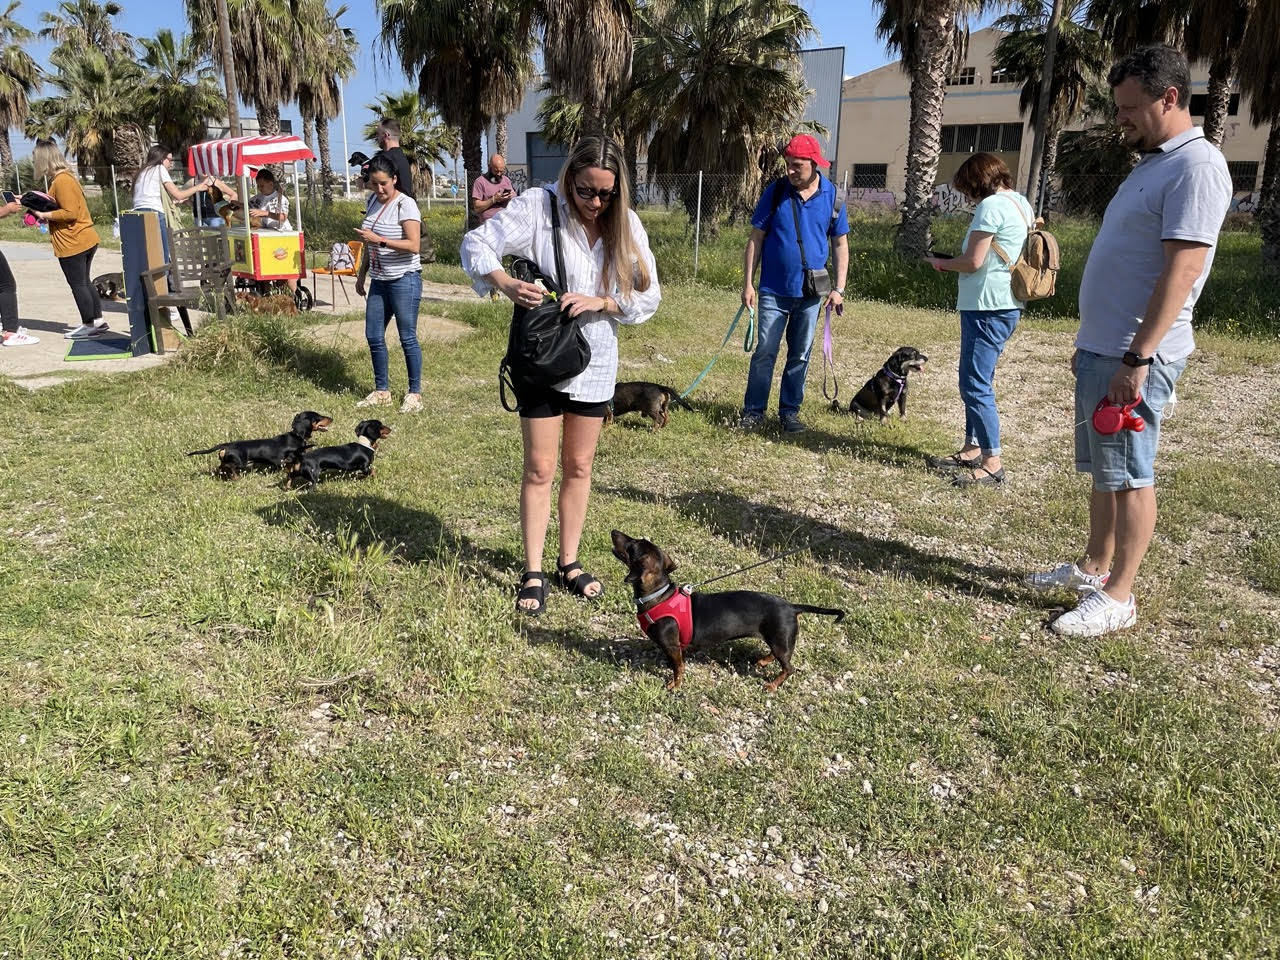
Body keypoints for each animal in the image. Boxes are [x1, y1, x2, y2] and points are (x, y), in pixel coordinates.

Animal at [186, 407, 335, 478]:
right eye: (318, 417)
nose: (332, 418)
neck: (296, 436)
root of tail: (227, 445)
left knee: (222, 466)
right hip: (240, 463)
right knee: (230, 467)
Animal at [611, 529, 844, 696]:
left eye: (632, 545)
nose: (613, 531)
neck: (658, 595)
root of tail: (792, 606)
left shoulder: (672, 646)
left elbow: (678, 668)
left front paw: (675, 685)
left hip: (780, 640)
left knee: (789, 668)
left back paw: (772, 685)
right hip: (777, 640)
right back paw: (763, 661)